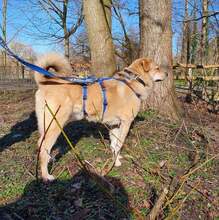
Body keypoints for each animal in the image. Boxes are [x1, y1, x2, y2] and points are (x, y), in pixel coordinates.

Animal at [34, 53, 168, 180]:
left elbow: (114, 145)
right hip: (55, 125)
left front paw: (116, 160)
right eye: (157, 68)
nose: (167, 74)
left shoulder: (115, 125)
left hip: (47, 125)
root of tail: (45, 84)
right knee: (44, 147)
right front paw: (115, 162)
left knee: (41, 144)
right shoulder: (126, 122)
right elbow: (119, 144)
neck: (134, 81)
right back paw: (46, 176)